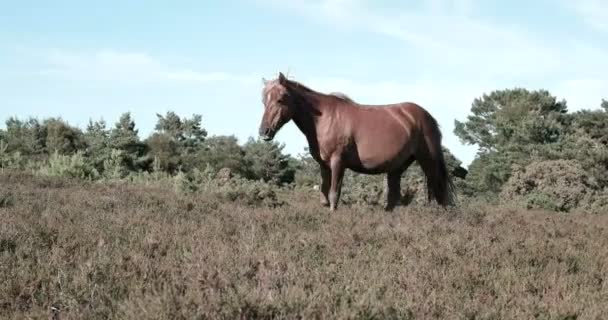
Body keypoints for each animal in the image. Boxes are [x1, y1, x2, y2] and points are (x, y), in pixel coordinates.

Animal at [258, 73, 456, 211]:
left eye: (280, 99)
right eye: (263, 101)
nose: (264, 132)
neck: (323, 119)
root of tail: (427, 116)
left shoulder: (338, 162)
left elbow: (333, 195)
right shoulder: (324, 165)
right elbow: (324, 197)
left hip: (428, 161)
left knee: (440, 193)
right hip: (397, 167)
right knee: (393, 199)